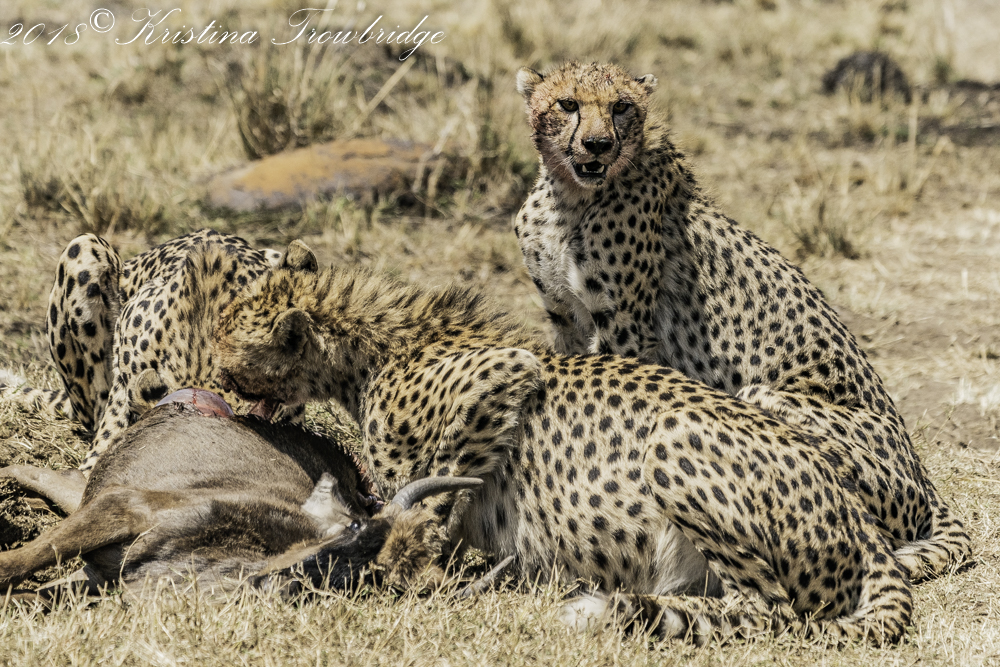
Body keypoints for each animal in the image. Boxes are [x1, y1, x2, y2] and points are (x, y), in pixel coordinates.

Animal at [211, 266, 929, 644]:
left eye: (229, 355)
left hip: (673, 438)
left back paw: (615, 606)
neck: (366, 349)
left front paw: (411, 558)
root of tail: (863, 525)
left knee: (770, 610)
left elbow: (433, 493)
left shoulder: (504, 373)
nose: (213, 384)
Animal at [512, 61, 969, 581]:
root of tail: (923, 475)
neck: (569, 195)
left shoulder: (625, 328)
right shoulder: (565, 318)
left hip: (765, 403)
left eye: (621, 106)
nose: (597, 144)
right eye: (568, 104)